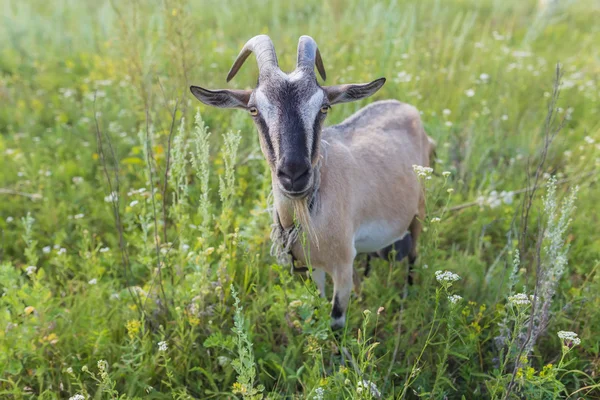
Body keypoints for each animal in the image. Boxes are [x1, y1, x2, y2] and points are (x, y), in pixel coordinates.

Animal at [190, 35, 434, 328]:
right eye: (253, 109)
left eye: (324, 107)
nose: (294, 174)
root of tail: (408, 109)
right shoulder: (314, 267)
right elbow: (318, 303)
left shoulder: (342, 267)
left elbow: (336, 320)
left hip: (418, 214)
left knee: (413, 256)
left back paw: (408, 296)